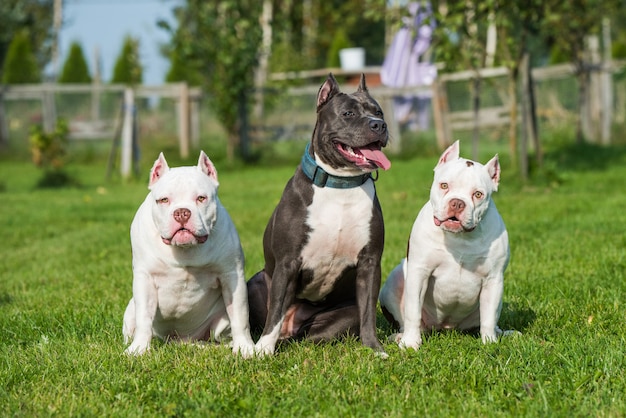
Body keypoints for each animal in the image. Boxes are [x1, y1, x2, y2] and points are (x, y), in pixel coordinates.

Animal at [122, 152, 254, 358]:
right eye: (164, 200)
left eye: (201, 198)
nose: (182, 212)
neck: (184, 249)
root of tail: (180, 339)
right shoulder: (145, 279)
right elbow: (144, 317)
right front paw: (139, 349)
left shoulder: (232, 276)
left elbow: (240, 316)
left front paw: (245, 348)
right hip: (130, 311)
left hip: (219, 324)